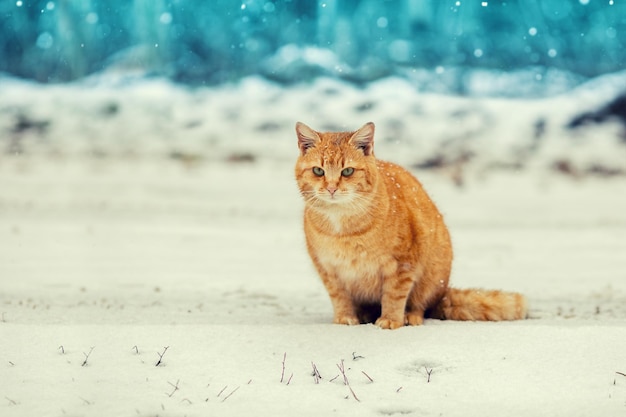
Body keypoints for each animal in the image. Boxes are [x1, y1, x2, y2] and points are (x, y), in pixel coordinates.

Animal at [294, 122, 524, 330]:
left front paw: (391, 320)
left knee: (420, 306)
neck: (342, 228)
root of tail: (443, 293)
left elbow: (394, 296)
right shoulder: (328, 269)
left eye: (348, 171)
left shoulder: (402, 263)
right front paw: (345, 318)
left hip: (431, 278)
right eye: (318, 171)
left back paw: (410, 316)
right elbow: (339, 297)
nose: (332, 188)